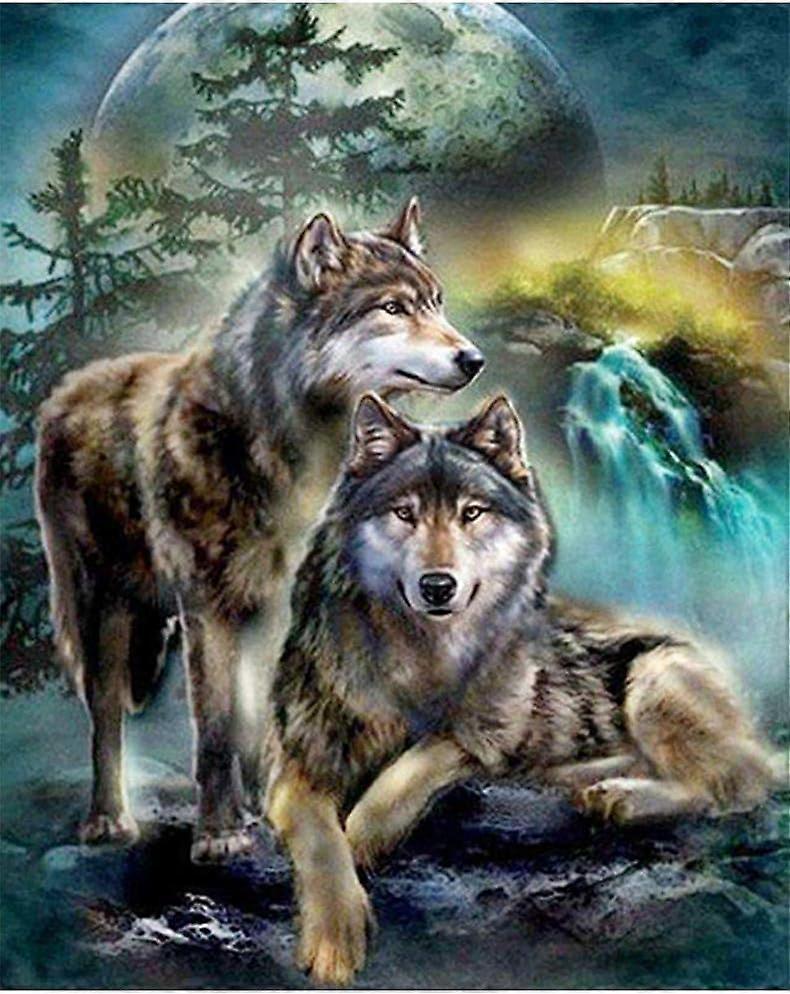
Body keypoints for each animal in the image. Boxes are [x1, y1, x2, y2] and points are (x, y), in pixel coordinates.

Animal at [34, 198, 484, 863]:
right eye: (393, 308)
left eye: (436, 302)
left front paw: (265, 813)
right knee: (105, 717)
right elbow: (217, 730)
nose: (473, 359)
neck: (279, 452)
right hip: (102, 609)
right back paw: (109, 820)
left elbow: (256, 724)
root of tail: (64, 391)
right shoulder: (208, 610)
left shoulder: (272, 610)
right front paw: (220, 832)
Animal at [265, 392, 778, 985]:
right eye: (404, 513)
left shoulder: (490, 725)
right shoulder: (296, 763)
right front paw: (334, 937)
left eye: (471, 513)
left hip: (652, 679)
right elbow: (320, 841)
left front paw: (366, 834)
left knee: (737, 784)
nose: (437, 586)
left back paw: (623, 798)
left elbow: (420, 760)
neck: (421, 655)